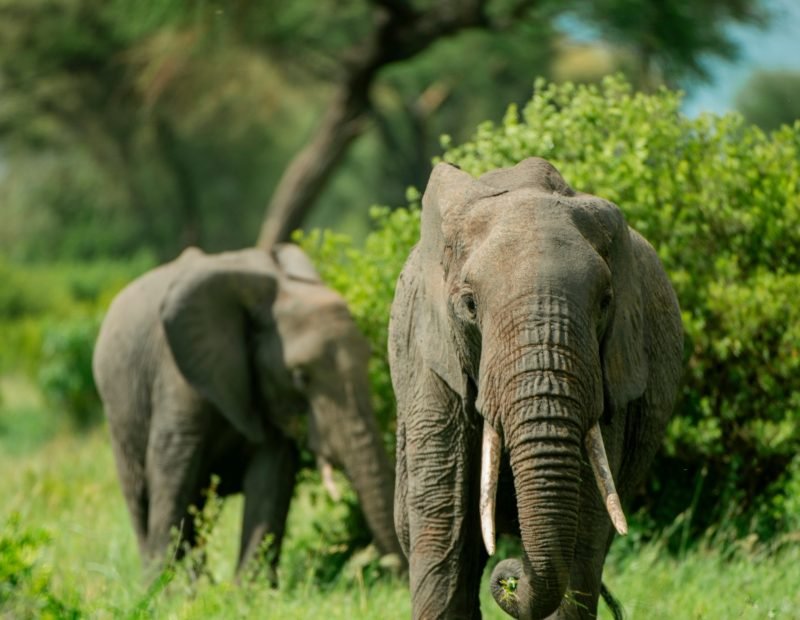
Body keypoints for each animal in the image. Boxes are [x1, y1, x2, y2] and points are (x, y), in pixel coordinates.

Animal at [93, 243, 403, 581]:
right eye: (300, 377)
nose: (397, 579)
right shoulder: (178, 374)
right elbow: (172, 469)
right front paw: (164, 589)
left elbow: (270, 474)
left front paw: (248, 589)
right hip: (118, 412)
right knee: (141, 496)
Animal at [388, 158, 683, 619]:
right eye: (469, 305)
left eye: (605, 302)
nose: (510, 575)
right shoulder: (430, 360)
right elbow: (443, 524)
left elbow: (585, 527)